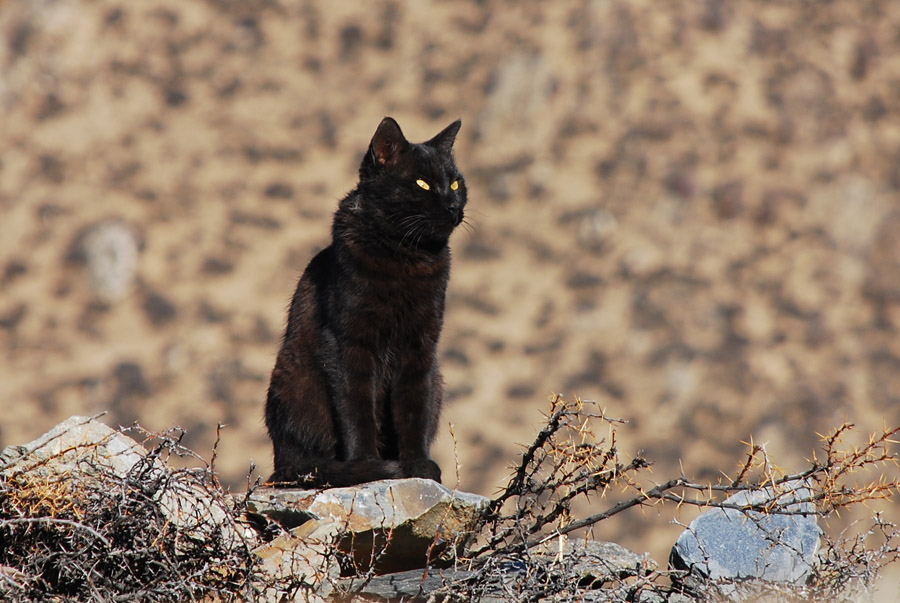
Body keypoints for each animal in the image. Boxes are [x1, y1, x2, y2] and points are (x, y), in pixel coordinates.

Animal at [264, 115, 468, 488]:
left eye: (456, 183)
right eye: (423, 184)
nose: (453, 206)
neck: (406, 256)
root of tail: (280, 461)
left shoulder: (421, 348)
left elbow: (413, 409)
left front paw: (417, 465)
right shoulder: (349, 343)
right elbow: (356, 410)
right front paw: (369, 464)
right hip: (295, 379)